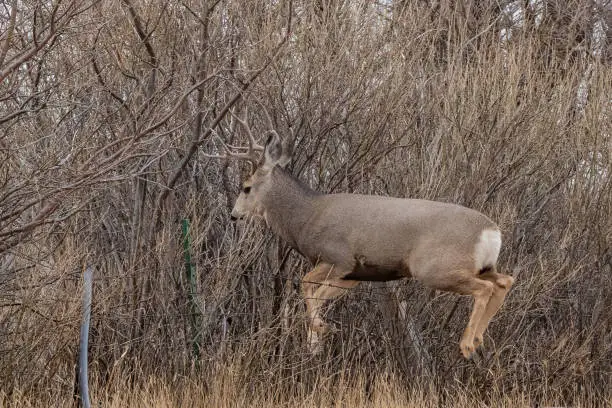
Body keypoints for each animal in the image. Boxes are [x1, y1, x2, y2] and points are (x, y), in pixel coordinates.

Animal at [213, 113, 512, 358]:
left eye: (246, 187)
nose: (234, 214)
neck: (307, 215)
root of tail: (491, 231)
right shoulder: (354, 275)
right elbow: (317, 294)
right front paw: (315, 342)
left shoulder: (338, 257)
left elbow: (306, 285)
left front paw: (320, 330)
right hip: (480, 266)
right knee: (504, 281)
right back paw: (479, 340)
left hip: (436, 268)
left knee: (485, 288)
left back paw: (467, 344)